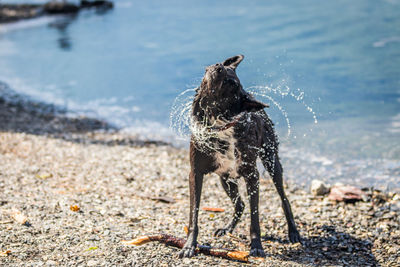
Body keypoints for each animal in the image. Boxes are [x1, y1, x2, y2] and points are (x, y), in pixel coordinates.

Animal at [179, 55, 300, 258]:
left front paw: (257, 246)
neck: (219, 123)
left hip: (271, 162)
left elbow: (255, 216)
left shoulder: (252, 176)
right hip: (225, 178)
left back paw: (294, 232)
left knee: (284, 199)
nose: (218, 66)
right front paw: (189, 245)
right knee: (240, 205)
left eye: (231, 83)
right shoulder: (195, 173)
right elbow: (193, 214)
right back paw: (227, 228)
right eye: (223, 67)